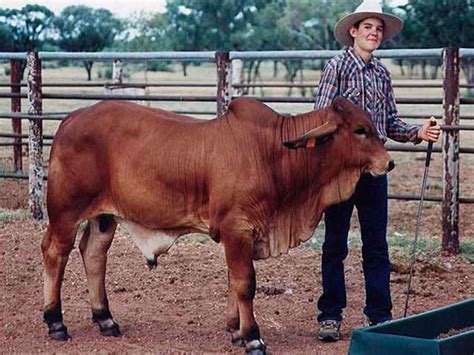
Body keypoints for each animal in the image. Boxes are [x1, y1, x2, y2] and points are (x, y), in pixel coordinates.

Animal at [42, 96, 392, 354]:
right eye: (360, 130)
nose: (388, 162)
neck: (272, 152)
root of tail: (70, 119)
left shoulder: (242, 234)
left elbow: (233, 280)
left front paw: (235, 331)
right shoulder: (237, 228)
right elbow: (245, 283)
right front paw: (253, 338)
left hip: (104, 217)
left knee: (93, 253)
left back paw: (105, 320)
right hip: (65, 212)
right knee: (54, 253)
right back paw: (56, 322)